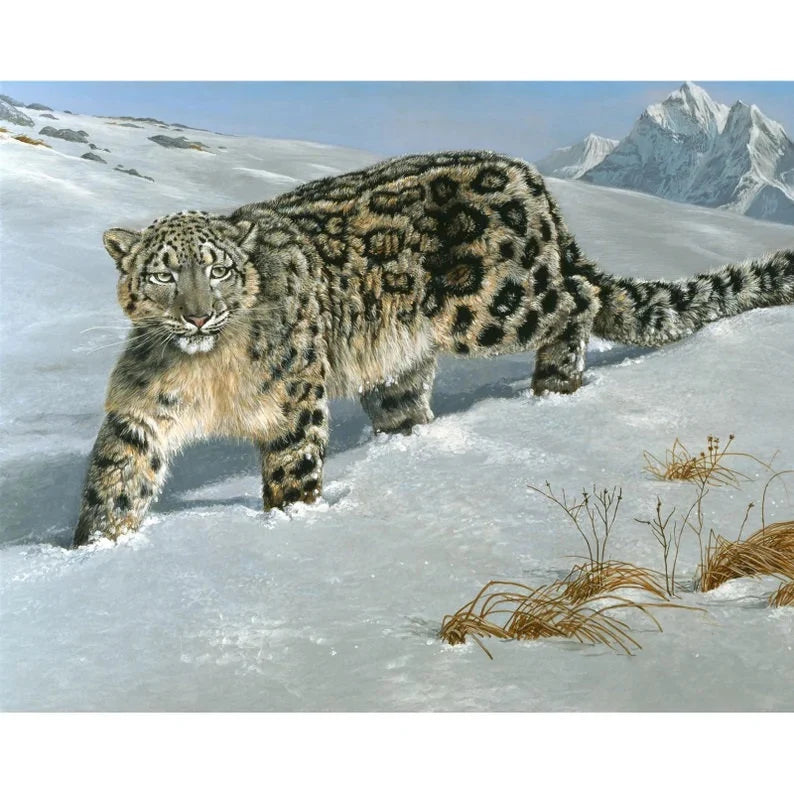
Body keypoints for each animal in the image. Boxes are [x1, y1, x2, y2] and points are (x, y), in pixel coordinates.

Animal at [73, 150, 794, 545]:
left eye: (219, 269)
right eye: (162, 275)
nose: (197, 316)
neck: (206, 373)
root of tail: (533, 181)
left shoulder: (293, 406)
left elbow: (290, 475)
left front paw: (290, 525)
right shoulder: (141, 409)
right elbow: (116, 478)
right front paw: (92, 547)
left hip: (497, 305)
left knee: (578, 301)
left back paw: (555, 385)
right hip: (397, 367)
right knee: (408, 404)